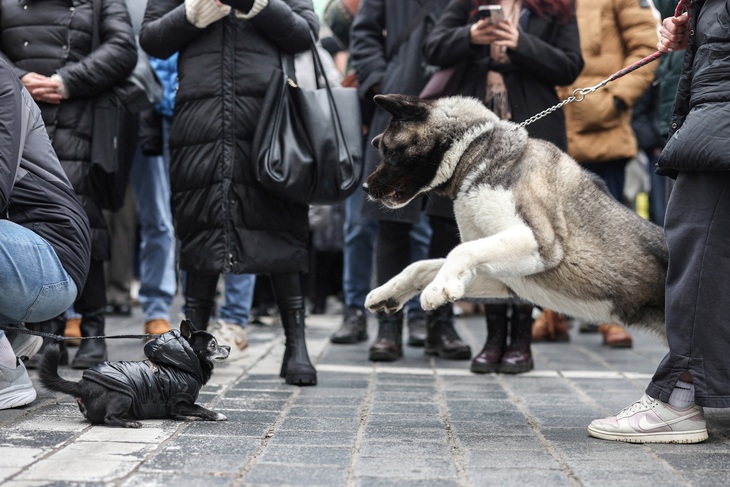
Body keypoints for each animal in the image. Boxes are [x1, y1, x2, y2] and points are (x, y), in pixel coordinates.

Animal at [37, 320, 230, 428]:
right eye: (213, 344)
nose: (228, 347)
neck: (183, 361)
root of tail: (83, 385)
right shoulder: (177, 401)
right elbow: (199, 408)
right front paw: (217, 415)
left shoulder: (175, 407)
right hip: (125, 395)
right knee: (108, 418)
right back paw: (130, 423)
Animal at [362, 95, 664, 340]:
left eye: (388, 151)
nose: (364, 187)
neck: (475, 153)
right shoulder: (505, 279)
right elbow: (422, 266)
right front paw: (388, 292)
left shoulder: (538, 243)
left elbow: (460, 251)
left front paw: (437, 289)